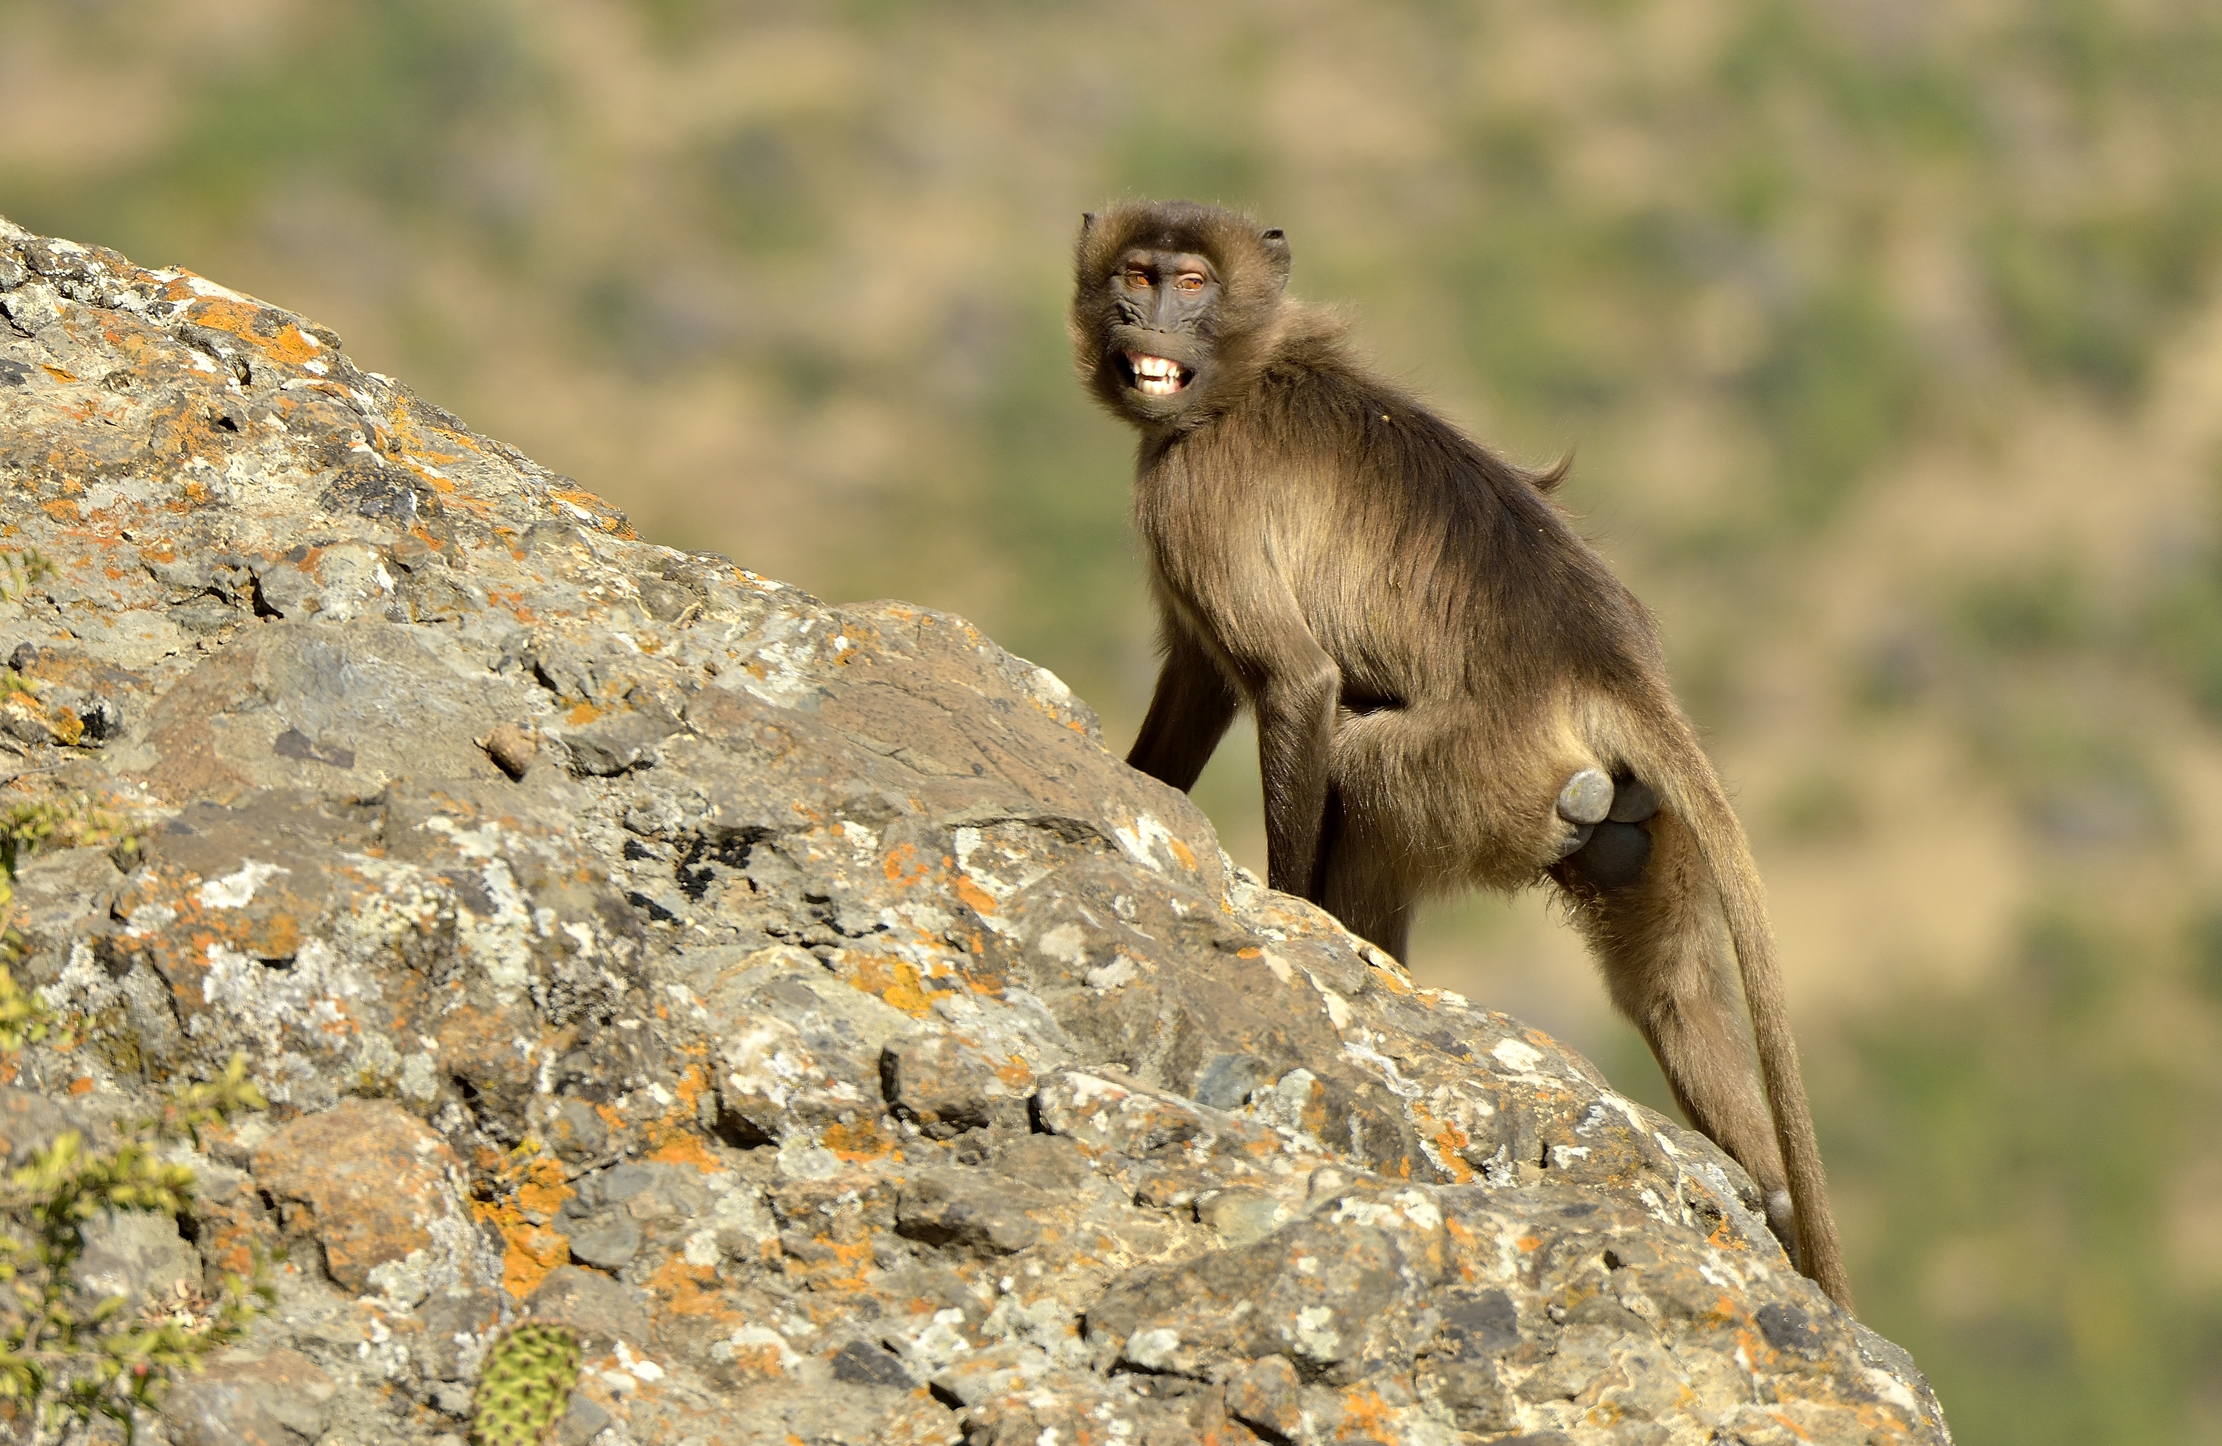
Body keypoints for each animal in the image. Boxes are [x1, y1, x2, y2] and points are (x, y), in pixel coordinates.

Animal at [1070, 199, 1852, 1311]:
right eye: (1135, 273)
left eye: (1189, 283)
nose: (1146, 321)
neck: (1253, 367)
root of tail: (1604, 668)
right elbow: (1201, 681)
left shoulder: (1194, 489)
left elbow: (1292, 682)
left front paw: (1286, 918)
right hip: (1643, 821)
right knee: (1672, 993)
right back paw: (1771, 1198)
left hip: (1480, 772)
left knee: (1359, 771)